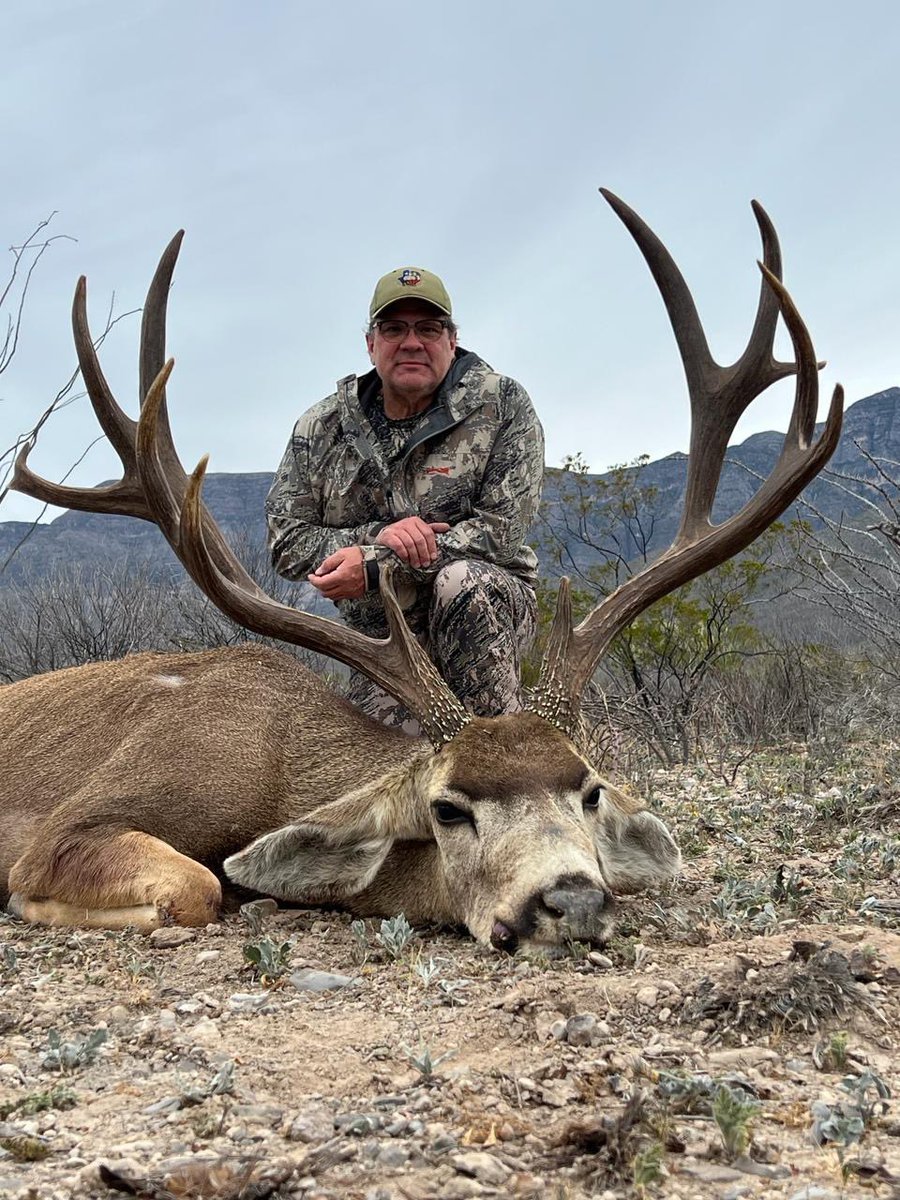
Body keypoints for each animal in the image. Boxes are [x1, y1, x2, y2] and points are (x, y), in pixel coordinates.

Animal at [1, 191, 843, 954]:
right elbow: (193, 887)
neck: (278, 767)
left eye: (590, 790)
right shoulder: (74, 823)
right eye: (448, 807)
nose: (571, 900)